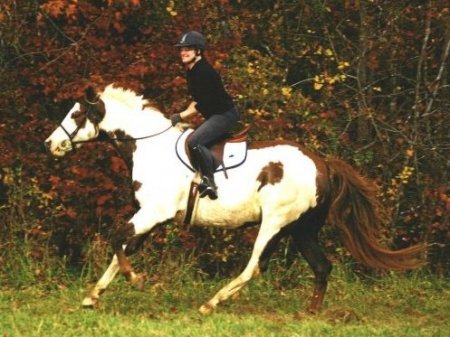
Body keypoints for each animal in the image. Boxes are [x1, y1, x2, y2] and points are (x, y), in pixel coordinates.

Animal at [43, 83, 426, 312]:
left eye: (76, 114)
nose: (51, 144)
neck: (149, 146)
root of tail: (322, 163)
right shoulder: (150, 216)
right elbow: (122, 247)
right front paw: (93, 295)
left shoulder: (152, 213)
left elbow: (115, 239)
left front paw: (134, 280)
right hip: (302, 229)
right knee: (321, 266)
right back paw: (310, 313)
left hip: (274, 223)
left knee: (255, 266)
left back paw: (211, 303)